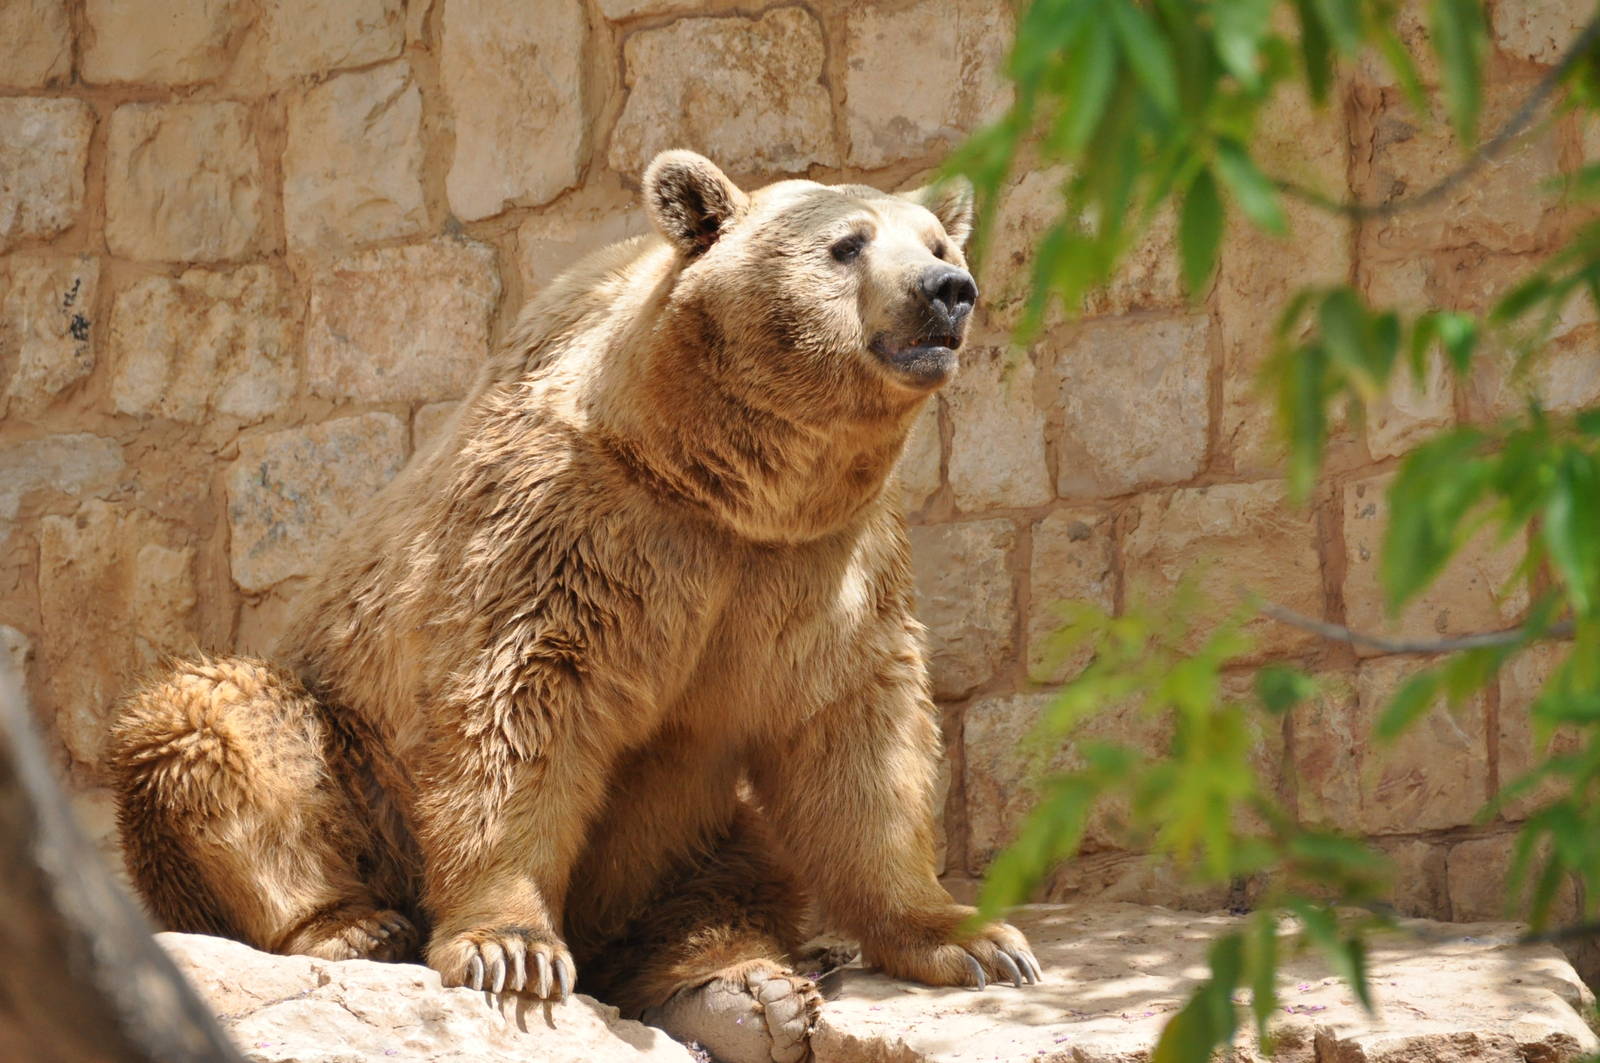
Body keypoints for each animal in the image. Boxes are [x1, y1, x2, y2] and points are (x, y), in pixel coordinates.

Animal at [107, 151, 1039, 1063]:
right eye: (849, 244)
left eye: (939, 243)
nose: (948, 290)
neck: (718, 478)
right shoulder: (568, 528)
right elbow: (517, 711)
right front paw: (511, 947)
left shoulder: (822, 563)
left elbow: (857, 737)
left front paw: (977, 938)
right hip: (355, 767)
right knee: (218, 721)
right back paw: (352, 924)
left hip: (673, 829)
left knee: (728, 872)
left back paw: (742, 993)